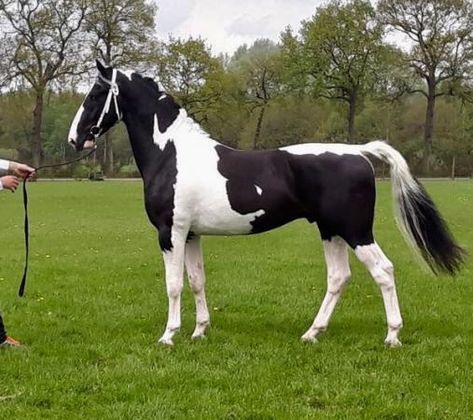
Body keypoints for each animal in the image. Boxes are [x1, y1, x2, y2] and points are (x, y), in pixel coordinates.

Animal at [67, 60, 464, 346]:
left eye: (96, 94)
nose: (75, 139)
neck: (172, 153)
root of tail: (359, 153)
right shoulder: (192, 234)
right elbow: (196, 281)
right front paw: (199, 331)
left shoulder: (171, 232)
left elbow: (173, 284)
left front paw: (168, 336)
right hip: (330, 230)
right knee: (339, 277)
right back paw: (312, 334)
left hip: (355, 231)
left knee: (383, 271)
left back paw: (392, 336)